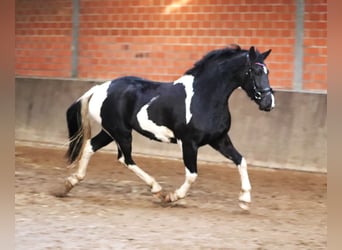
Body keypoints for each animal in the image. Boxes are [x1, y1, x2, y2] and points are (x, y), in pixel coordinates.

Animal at [57, 45, 274, 211]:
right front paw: (172, 196)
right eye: (255, 72)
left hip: (110, 132)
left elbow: (241, 160)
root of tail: (99, 88)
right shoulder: (188, 142)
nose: (269, 102)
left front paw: (245, 200)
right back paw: (157, 190)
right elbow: (192, 174)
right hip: (121, 133)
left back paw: (69, 183)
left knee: (91, 146)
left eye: (268, 72)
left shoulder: (219, 139)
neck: (204, 96)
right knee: (125, 158)